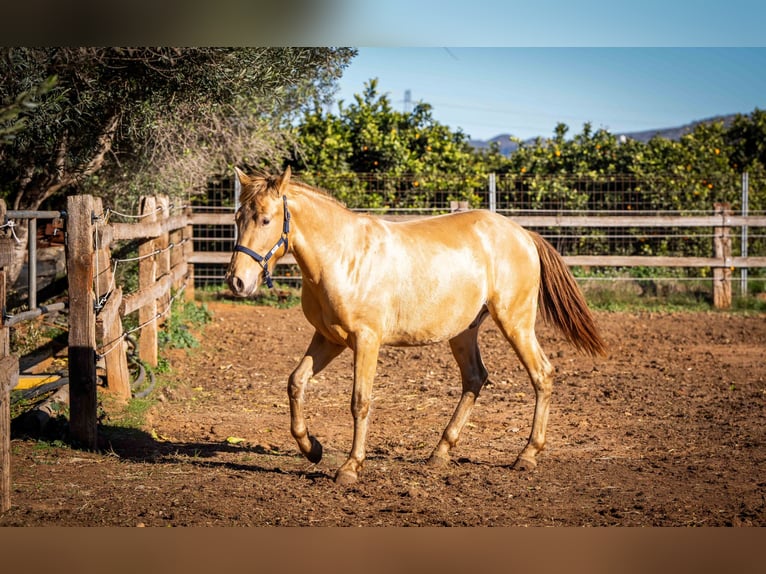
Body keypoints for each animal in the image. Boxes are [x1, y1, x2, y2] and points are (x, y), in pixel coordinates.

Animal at [225, 166, 608, 486]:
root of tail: (524, 234)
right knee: (475, 378)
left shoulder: (366, 340)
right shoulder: (329, 339)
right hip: (463, 332)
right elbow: (296, 382)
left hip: (515, 322)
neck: (343, 257)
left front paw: (350, 467)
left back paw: (526, 455)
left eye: (266, 219)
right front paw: (312, 448)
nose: (237, 281)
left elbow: (360, 401)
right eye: (238, 217)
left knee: (541, 374)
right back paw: (440, 452)